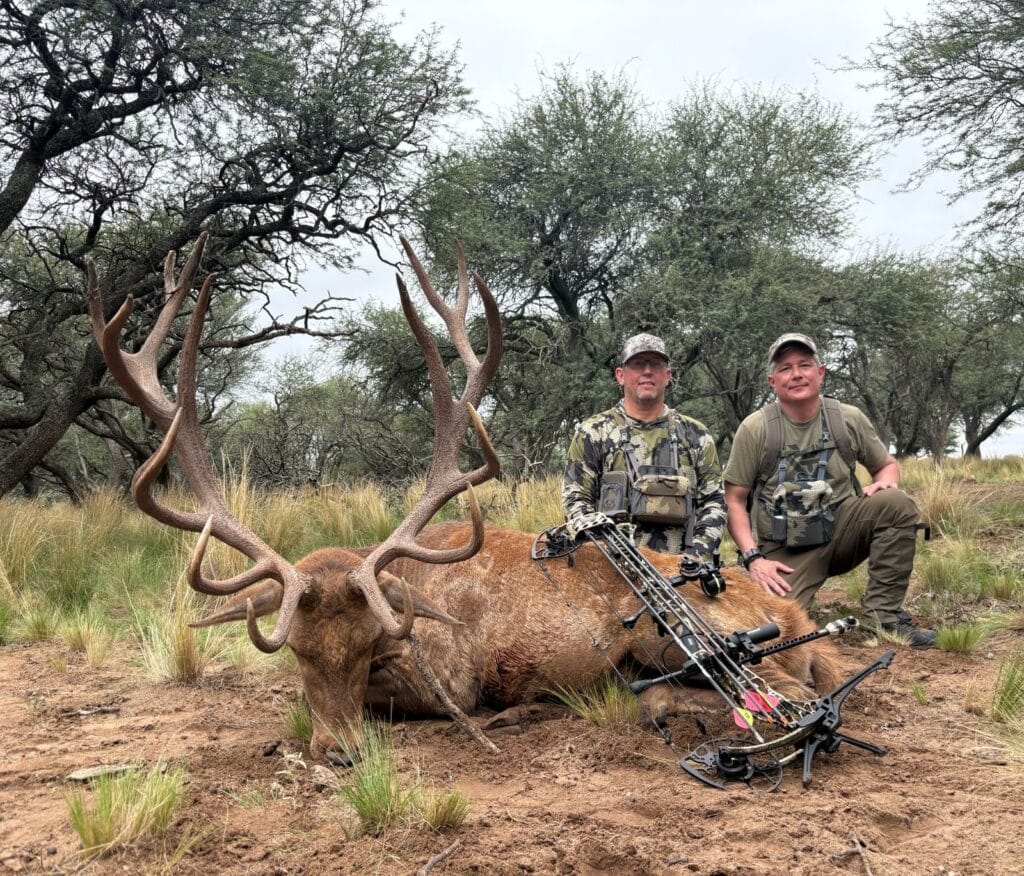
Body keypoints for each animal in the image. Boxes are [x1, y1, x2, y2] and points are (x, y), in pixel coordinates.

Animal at [86, 235, 845, 764]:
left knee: (788, 692)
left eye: (366, 646)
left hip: (681, 637)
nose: (339, 754)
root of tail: (791, 610)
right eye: (297, 651)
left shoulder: (448, 680)